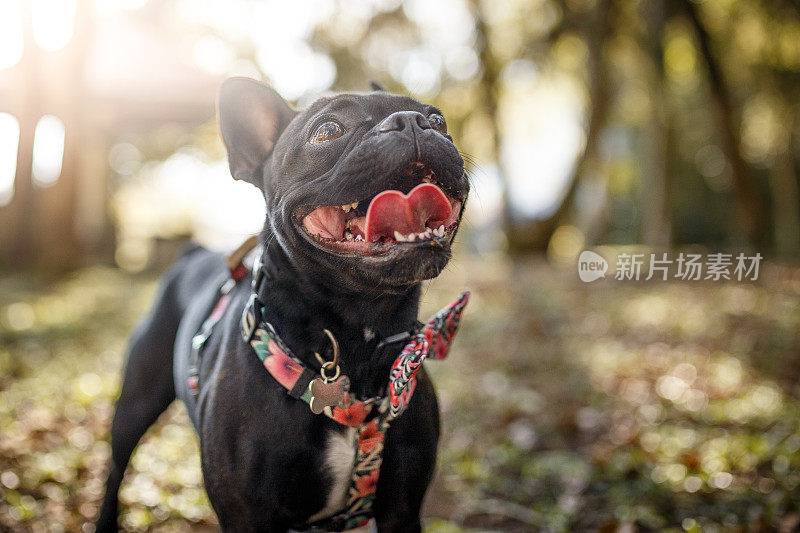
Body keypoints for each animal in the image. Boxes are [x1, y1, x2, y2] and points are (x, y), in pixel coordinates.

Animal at [97, 77, 468, 528]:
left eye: (439, 120)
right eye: (327, 131)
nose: (412, 121)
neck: (359, 333)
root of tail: (193, 252)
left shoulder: (402, 509)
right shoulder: (248, 516)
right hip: (134, 403)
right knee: (115, 468)